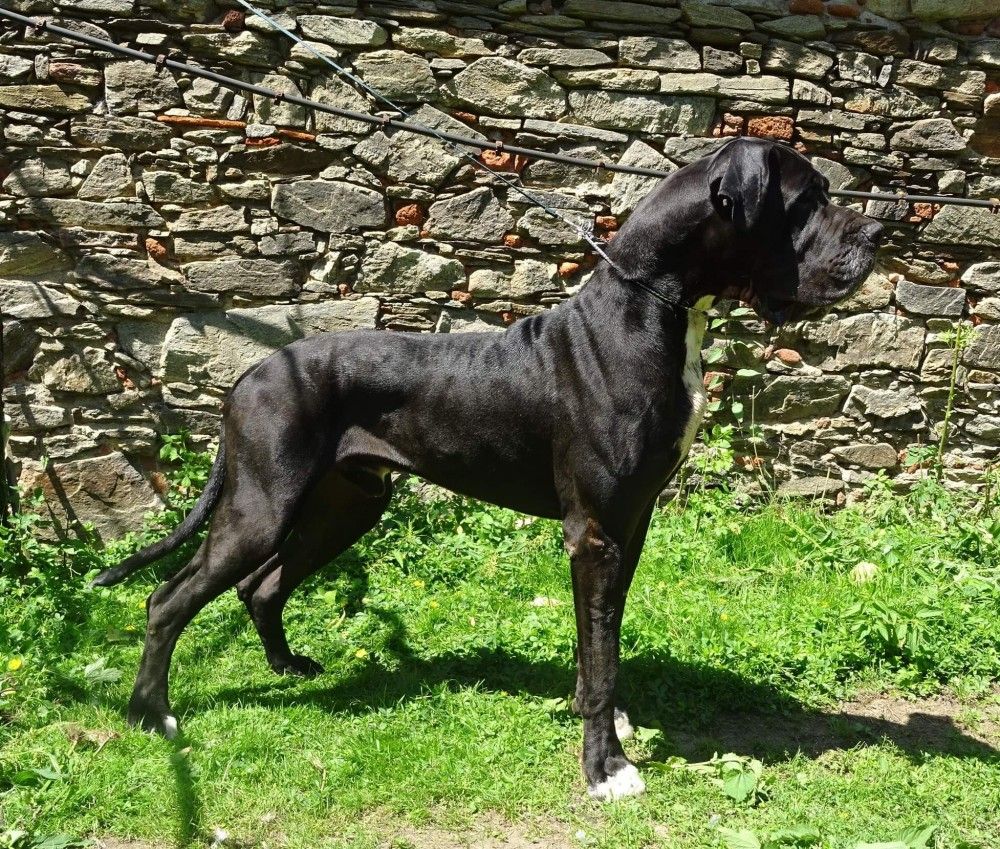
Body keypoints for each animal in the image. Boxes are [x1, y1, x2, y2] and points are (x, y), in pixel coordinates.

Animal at [93, 137, 882, 799]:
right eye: (808, 200)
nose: (876, 234)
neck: (651, 309)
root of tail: (252, 372)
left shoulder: (629, 525)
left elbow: (601, 641)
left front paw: (606, 722)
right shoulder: (596, 532)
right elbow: (602, 654)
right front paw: (606, 767)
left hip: (344, 506)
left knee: (261, 586)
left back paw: (289, 669)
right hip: (262, 507)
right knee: (169, 597)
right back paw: (151, 714)